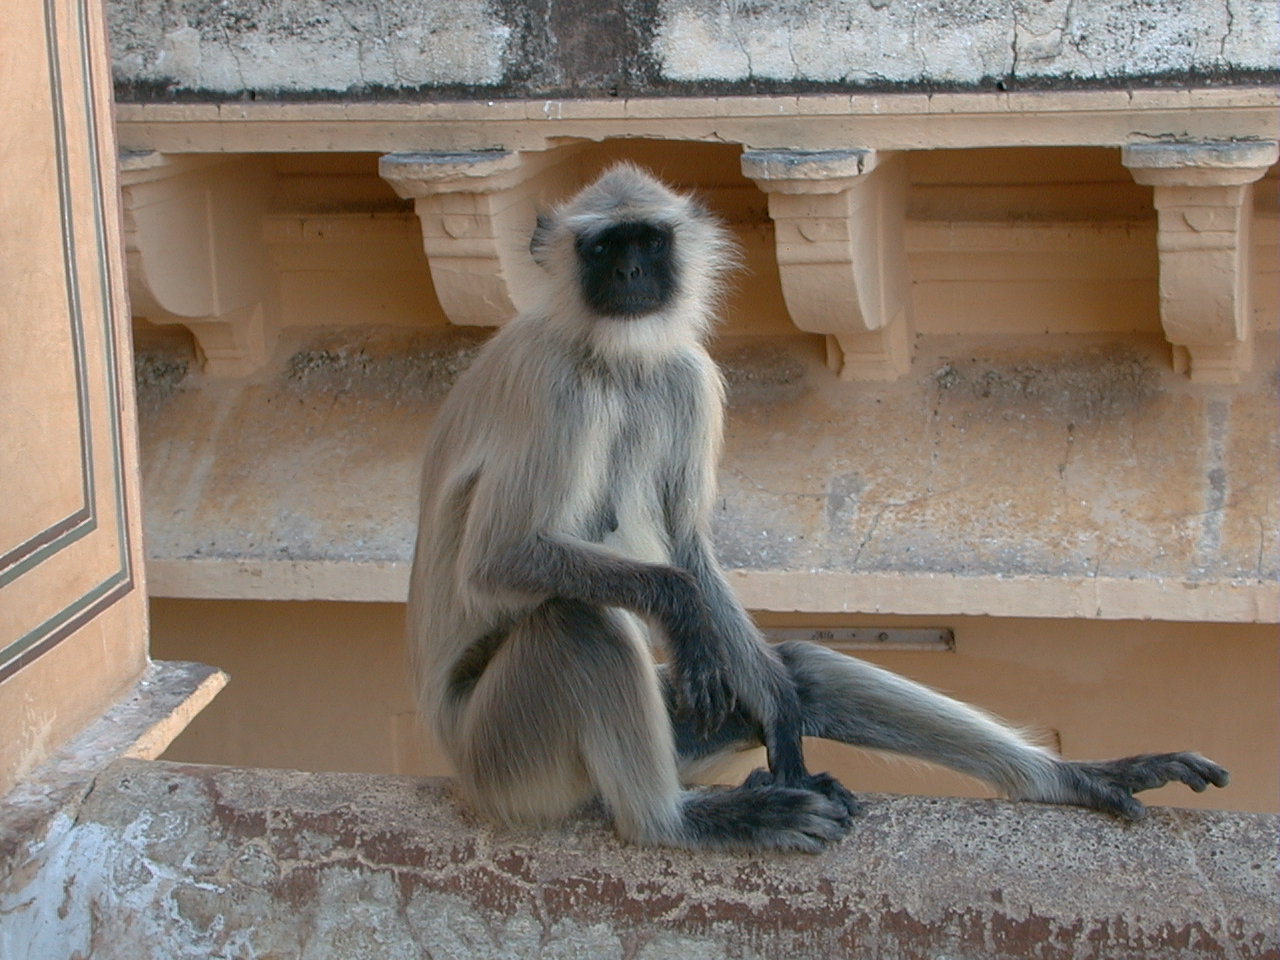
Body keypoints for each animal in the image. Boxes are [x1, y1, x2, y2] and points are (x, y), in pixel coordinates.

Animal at [409, 167, 1228, 855]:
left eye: (649, 241)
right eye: (605, 246)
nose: (631, 273)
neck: (615, 357)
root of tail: (455, 756)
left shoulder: (685, 374)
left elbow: (688, 549)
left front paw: (777, 711)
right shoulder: (552, 386)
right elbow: (503, 560)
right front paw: (678, 607)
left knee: (802, 672)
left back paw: (1067, 777)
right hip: (505, 753)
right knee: (577, 623)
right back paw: (678, 822)